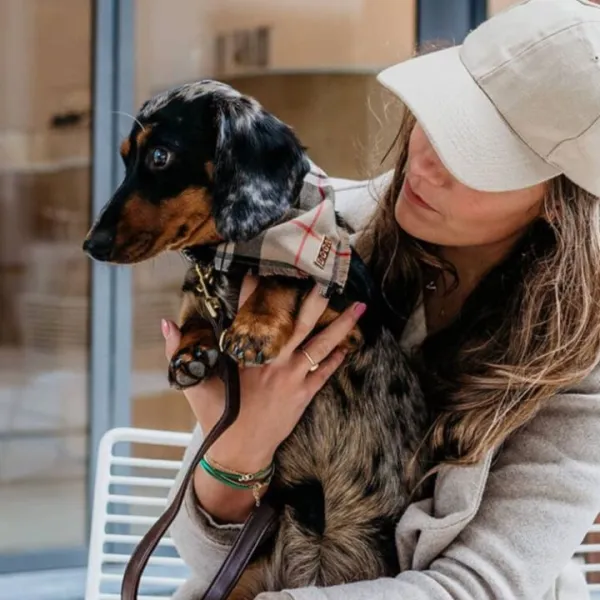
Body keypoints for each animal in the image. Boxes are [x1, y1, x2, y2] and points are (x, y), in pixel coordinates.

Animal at [84, 81, 428, 600]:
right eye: (126, 157)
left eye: (160, 156)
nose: (91, 244)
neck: (231, 255)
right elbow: (194, 308)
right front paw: (192, 352)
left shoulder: (353, 307)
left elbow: (284, 275)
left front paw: (254, 325)